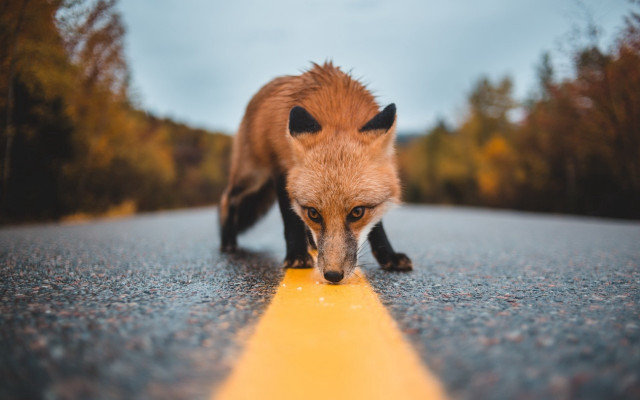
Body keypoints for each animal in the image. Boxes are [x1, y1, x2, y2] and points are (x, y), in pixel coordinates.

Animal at [219, 62, 412, 283]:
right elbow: (291, 219)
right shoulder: (282, 171)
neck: (337, 111)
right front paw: (296, 255)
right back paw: (227, 240)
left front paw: (388, 256)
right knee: (227, 198)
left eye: (357, 213)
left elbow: (377, 226)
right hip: (253, 176)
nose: (333, 275)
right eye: (314, 213)